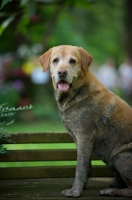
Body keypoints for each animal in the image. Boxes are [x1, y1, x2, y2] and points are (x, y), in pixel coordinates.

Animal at [39, 45, 132, 197]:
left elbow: (79, 167)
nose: (62, 72)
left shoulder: (84, 135)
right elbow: (86, 166)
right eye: (55, 60)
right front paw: (81, 186)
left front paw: (75, 191)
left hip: (121, 155)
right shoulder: (79, 139)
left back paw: (110, 191)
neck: (76, 93)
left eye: (72, 61)